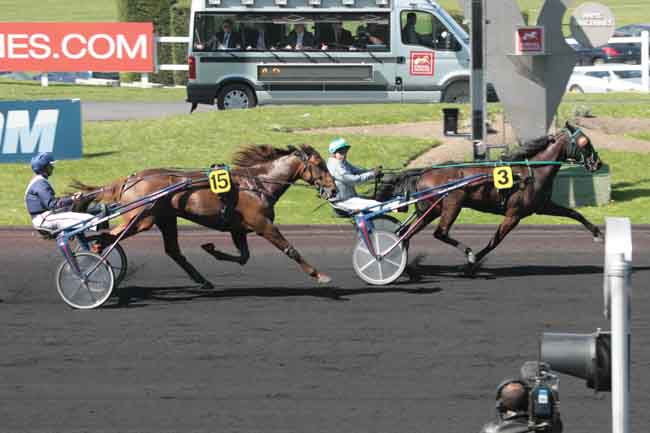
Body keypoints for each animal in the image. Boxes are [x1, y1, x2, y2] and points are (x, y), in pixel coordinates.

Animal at [374, 120, 604, 274]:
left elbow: (574, 213)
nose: (598, 163)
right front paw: (472, 261)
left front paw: (597, 233)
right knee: (439, 232)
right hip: (452, 203)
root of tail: (424, 172)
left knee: (405, 233)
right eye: (585, 142)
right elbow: (495, 241)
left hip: (430, 210)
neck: (531, 172)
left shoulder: (543, 205)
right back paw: (466, 253)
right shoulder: (514, 214)